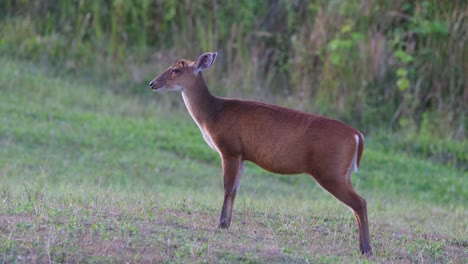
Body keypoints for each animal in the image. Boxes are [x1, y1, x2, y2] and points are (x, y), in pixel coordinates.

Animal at [148, 51, 372, 256]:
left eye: (175, 70)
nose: (152, 83)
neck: (212, 114)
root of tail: (357, 135)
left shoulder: (229, 148)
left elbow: (227, 187)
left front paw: (220, 224)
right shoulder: (242, 155)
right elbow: (235, 189)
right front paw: (226, 224)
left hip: (330, 172)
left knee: (360, 202)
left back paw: (367, 250)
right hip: (341, 173)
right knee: (357, 204)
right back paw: (363, 248)